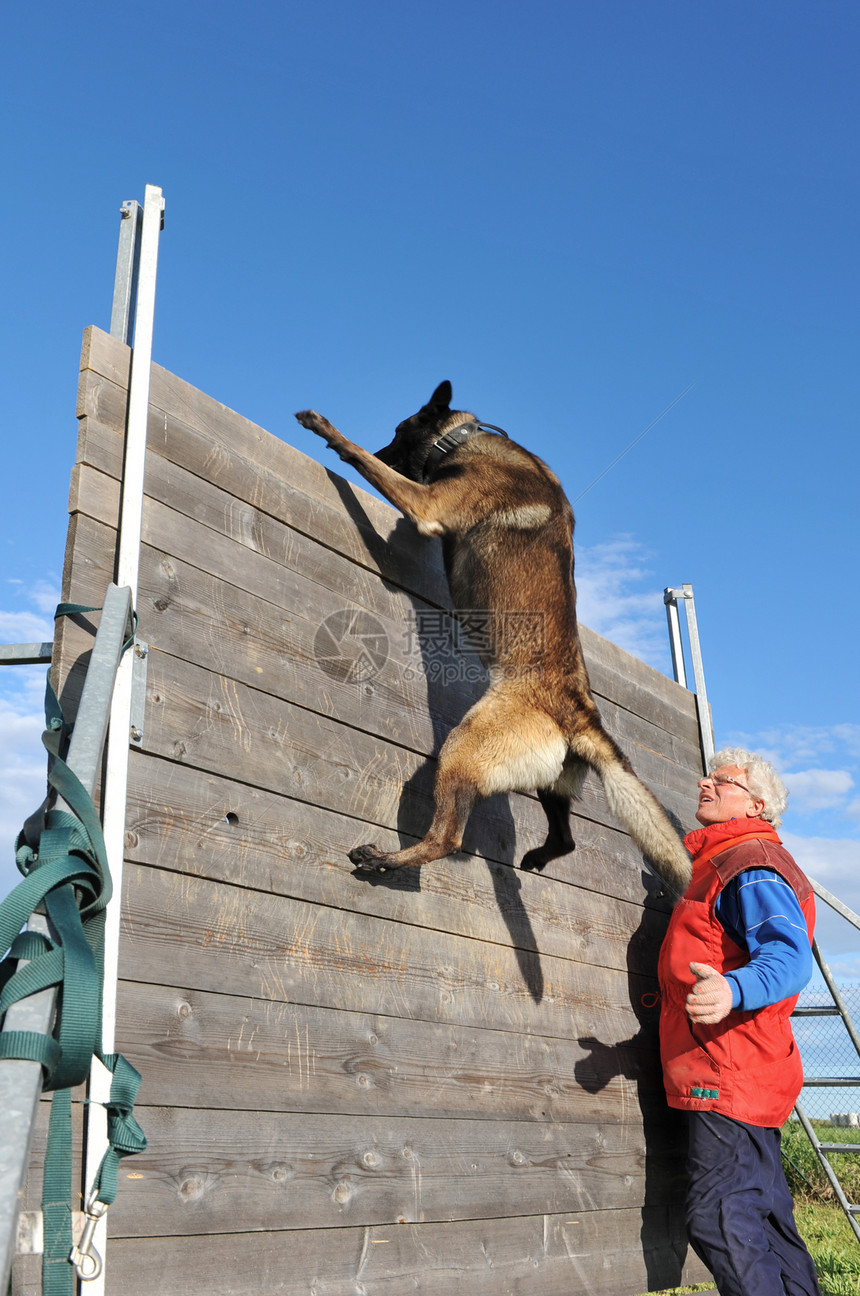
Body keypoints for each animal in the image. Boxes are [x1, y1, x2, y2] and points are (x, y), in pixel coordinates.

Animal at [295, 378, 694, 896]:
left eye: (399, 431)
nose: (387, 448)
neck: (463, 440)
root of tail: (580, 709)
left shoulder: (427, 504)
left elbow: (361, 458)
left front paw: (327, 430)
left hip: (462, 747)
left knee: (447, 837)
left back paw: (383, 860)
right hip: (549, 782)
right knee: (565, 839)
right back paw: (537, 857)